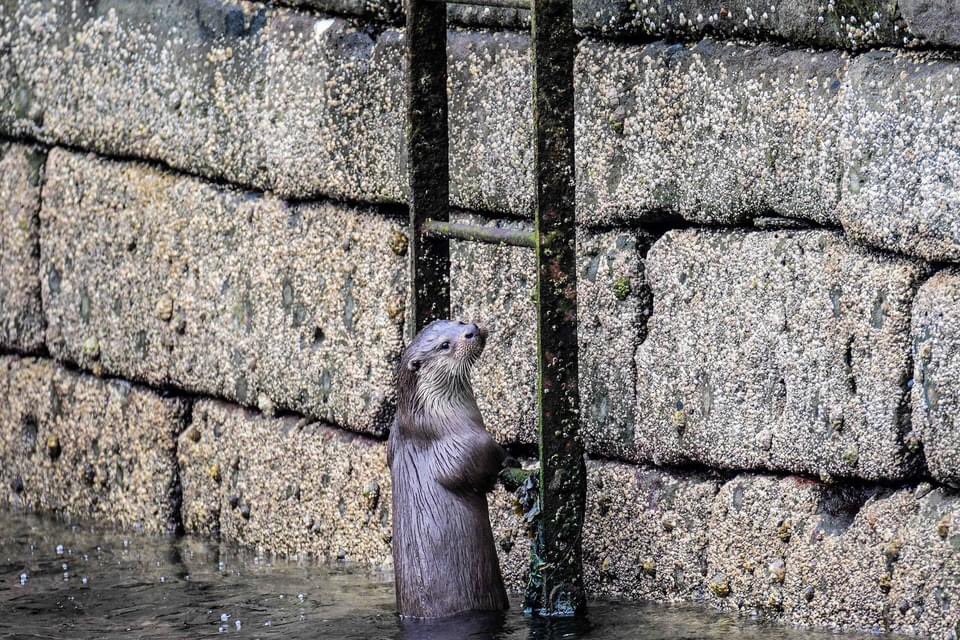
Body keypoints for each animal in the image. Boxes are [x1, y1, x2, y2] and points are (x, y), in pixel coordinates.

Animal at [388, 319, 510, 619]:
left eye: (459, 321)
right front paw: (509, 460)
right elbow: (472, 462)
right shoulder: (454, 444)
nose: (473, 329)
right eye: (444, 345)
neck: (434, 415)